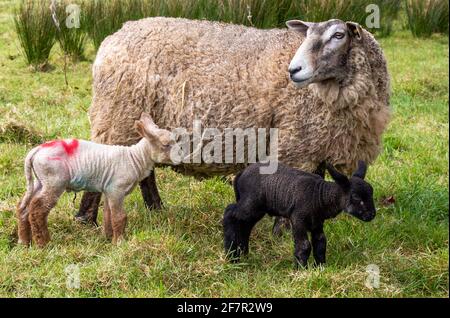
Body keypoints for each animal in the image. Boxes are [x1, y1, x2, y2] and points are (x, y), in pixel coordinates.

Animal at [15, 113, 175, 247]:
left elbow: (108, 215)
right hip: (54, 180)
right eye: (166, 144)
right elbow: (119, 217)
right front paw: (120, 242)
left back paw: (24, 242)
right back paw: (43, 243)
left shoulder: (109, 189)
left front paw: (108, 238)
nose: (179, 159)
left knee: (24, 205)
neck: (135, 158)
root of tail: (36, 151)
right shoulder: (116, 189)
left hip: (40, 181)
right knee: (38, 209)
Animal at [224, 160, 376, 268]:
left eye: (371, 193)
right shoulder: (298, 218)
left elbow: (321, 243)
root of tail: (241, 174)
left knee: (245, 224)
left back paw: (243, 253)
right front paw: (301, 270)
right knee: (230, 213)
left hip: (257, 208)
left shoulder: (317, 223)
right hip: (251, 201)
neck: (320, 196)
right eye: (356, 197)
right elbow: (304, 245)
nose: (372, 215)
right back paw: (232, 256)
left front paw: (320, 267)